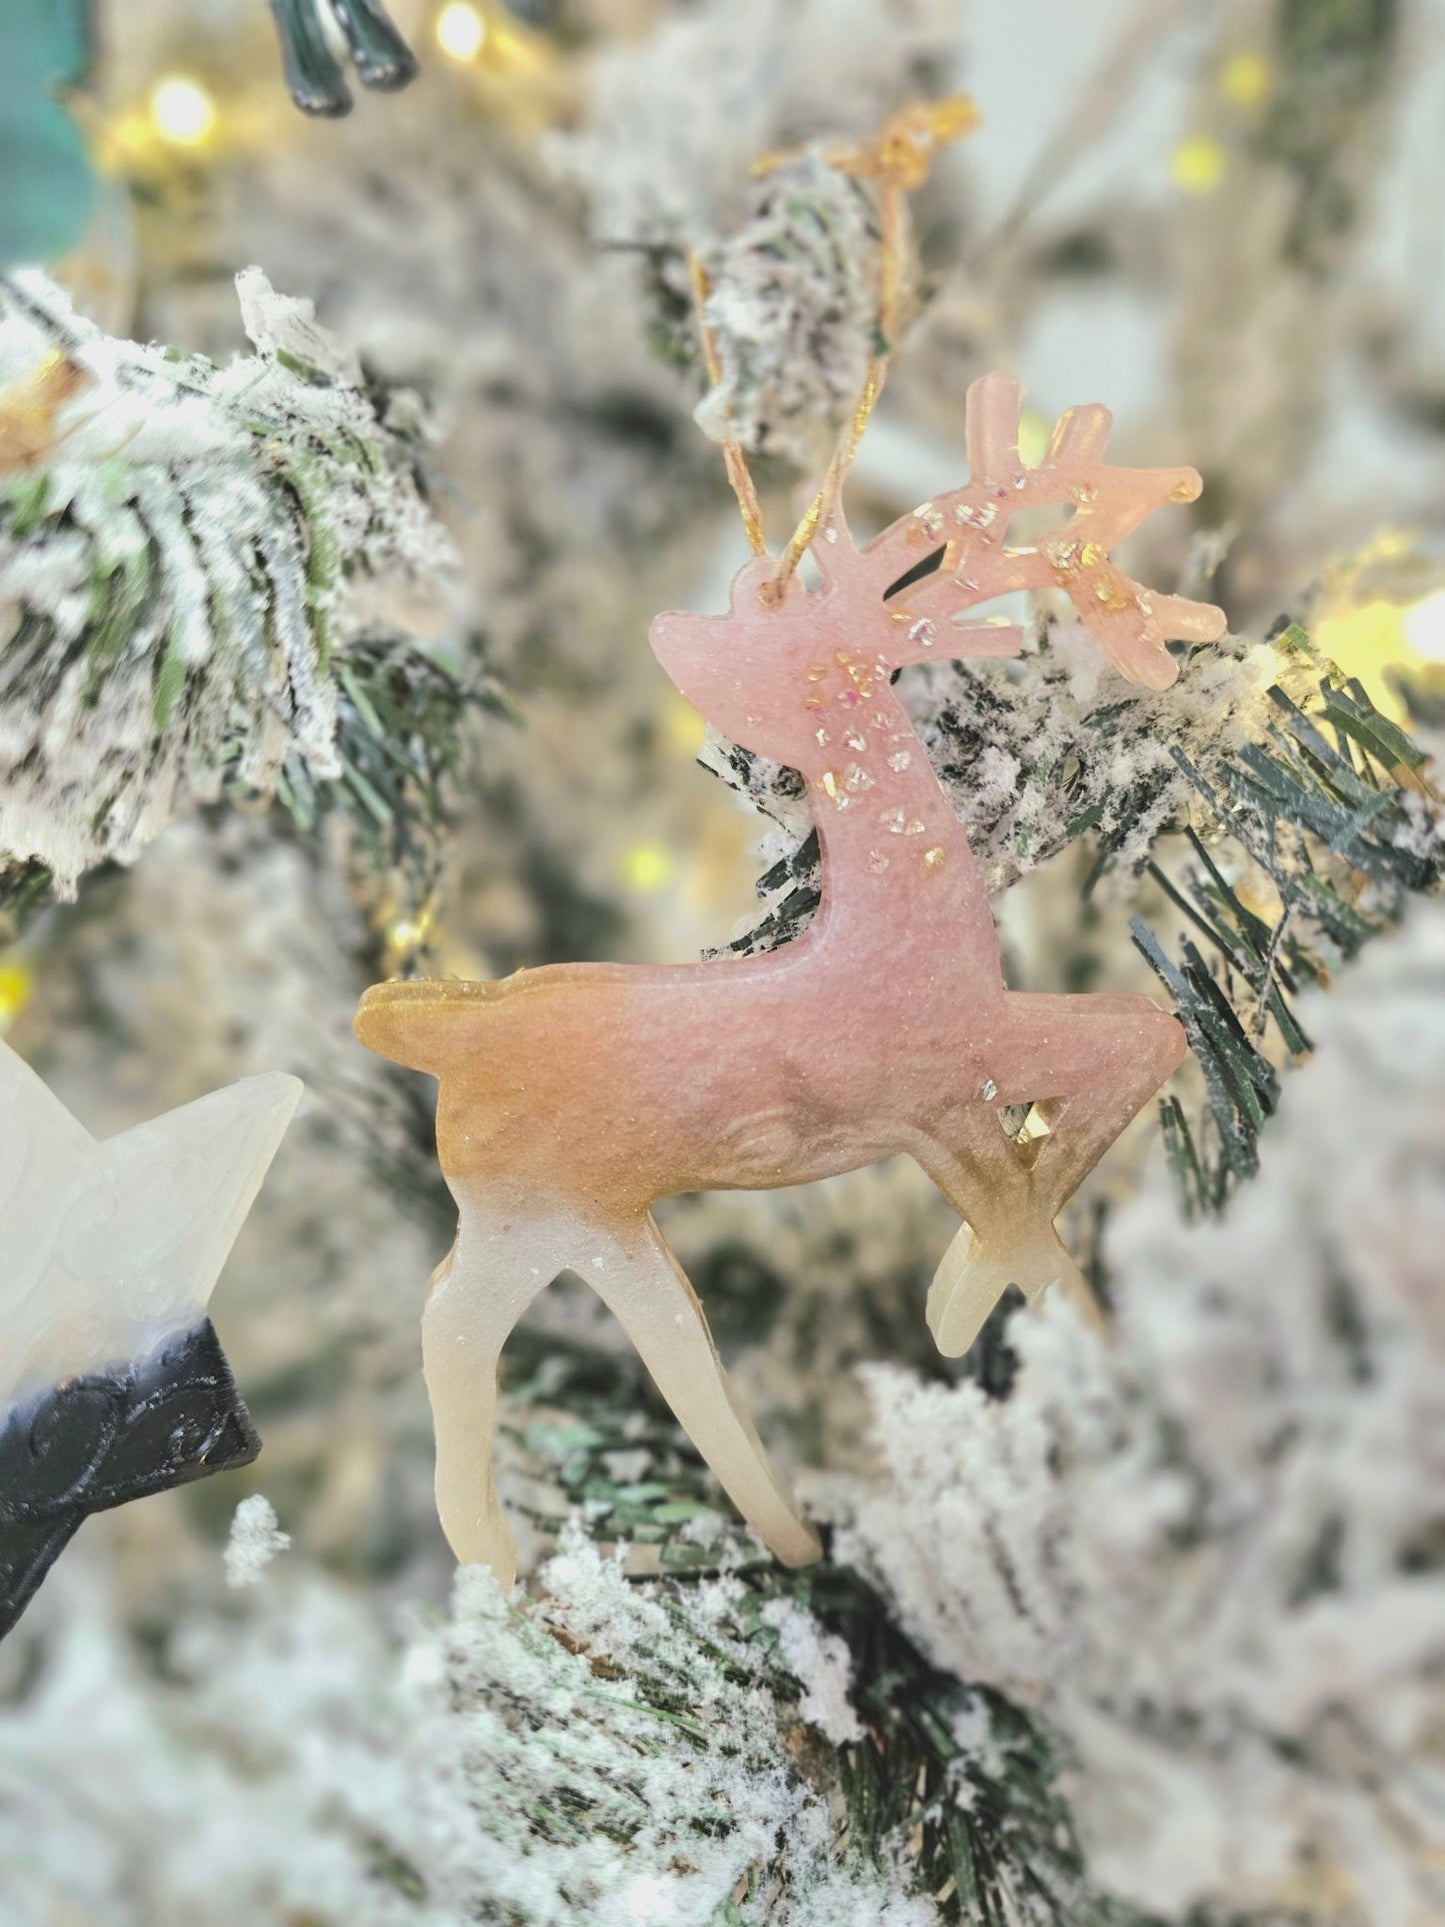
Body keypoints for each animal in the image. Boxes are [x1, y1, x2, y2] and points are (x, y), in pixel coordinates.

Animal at [355, 371, 1227, 1584]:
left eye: (772, 636)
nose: (680, 632)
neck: (908, 933)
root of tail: (428, 1025)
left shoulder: (993, 1051)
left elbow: (1150, 1039)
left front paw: (974, 1294)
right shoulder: (935, 1091)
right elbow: (1025, 1222)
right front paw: (999, 1316)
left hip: (587, 1219)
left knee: (619, 1335)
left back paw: (757, 1535)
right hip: (531, 1211)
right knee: (465, 1334)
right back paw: (516, 1559)